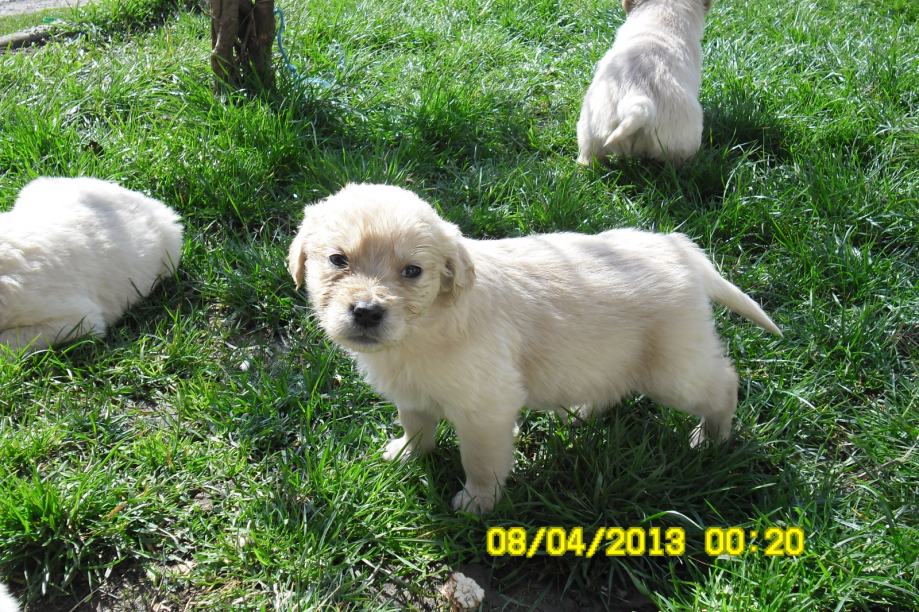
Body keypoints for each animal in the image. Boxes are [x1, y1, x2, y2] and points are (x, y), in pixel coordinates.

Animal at [288, 184, 781, 514]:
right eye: (337, 260)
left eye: (412, 271)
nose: (367, 312)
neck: (424, 326)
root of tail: (680, 249)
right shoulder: (412, 392)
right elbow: (415, 426)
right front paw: (407, 455)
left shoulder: (487, 409)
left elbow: (481, 460)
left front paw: (478, 502)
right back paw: (578, 413)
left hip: (674, 368)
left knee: (723, 383)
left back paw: (711, 438)